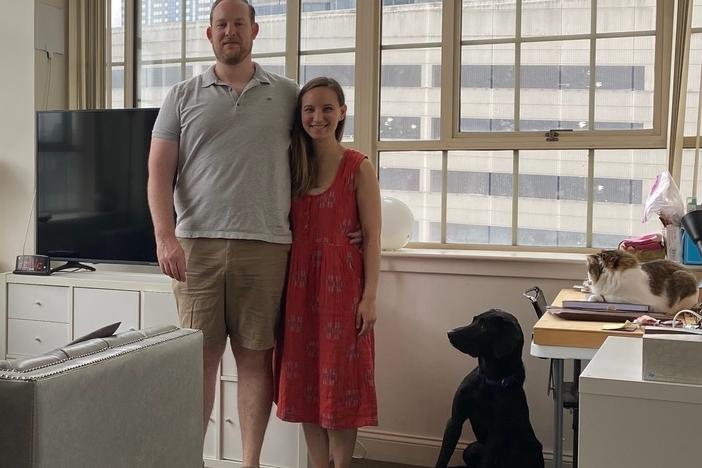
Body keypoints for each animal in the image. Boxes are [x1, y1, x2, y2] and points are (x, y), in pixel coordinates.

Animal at [438, 308, 548, 468]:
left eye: (484, 327)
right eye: (474, 320)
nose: (449, 333)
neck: (487, 379)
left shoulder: (495, 433)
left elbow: (487, 460)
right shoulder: (455, 420)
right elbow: (443, 457)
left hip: (526, 451)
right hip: (471, 449)